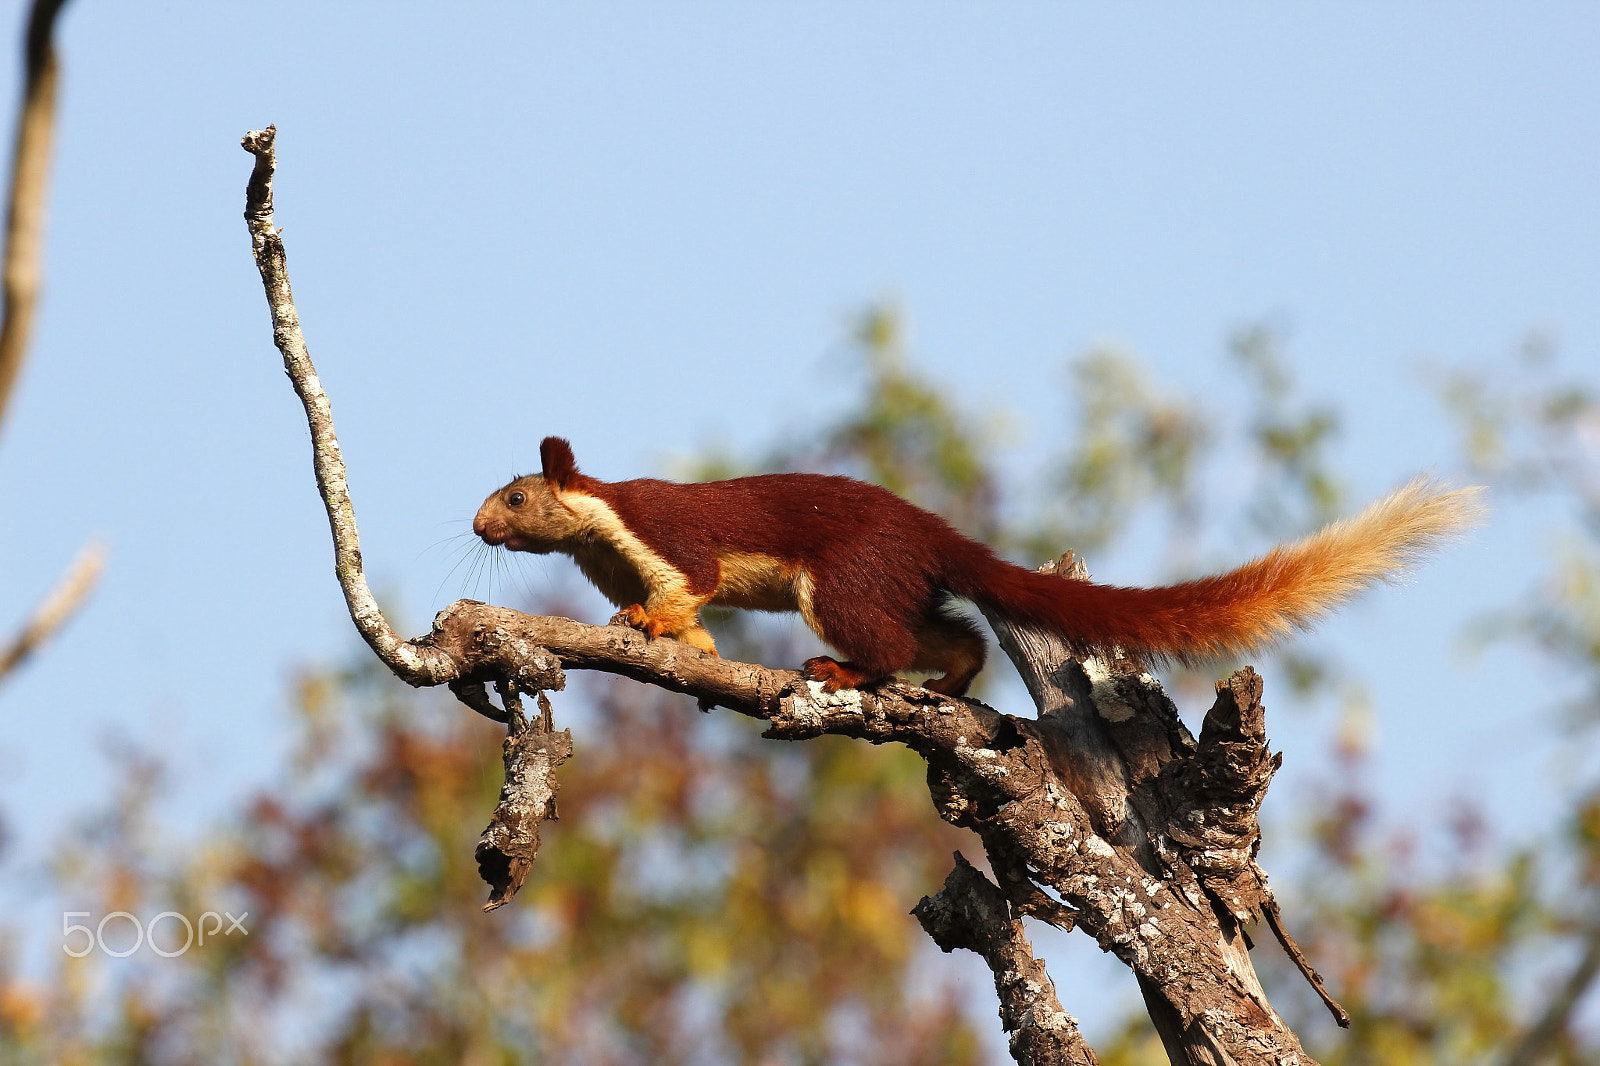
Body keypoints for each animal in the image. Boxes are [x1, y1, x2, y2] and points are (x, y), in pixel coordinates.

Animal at [472, 436, 1483, 697]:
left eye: (516, 497)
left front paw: (649, 623)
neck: (603, 538)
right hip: (895, 585)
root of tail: (935, 535)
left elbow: (691, 585)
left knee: (883, 643)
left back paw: (846, 672)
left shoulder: (668, 537)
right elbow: (692, 620)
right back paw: (952, 682)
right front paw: (680, 641)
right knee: (954, 633)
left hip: (840, 582)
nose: (479, 524)